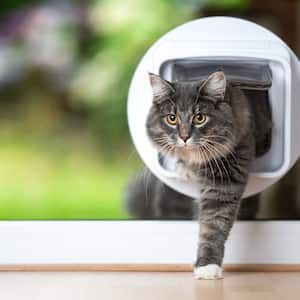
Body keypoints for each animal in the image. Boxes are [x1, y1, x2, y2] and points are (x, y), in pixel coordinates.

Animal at [124, 71, 272, 278]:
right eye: (172, 118)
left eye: (199, 118)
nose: (184, 137)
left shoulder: (224, 183)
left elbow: (211, 229)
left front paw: (208, 267)